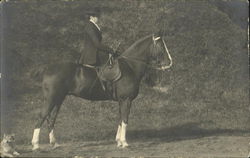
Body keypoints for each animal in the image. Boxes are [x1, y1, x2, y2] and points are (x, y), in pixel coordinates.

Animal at [30, 33, 172, 151]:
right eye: (161, 46)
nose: (169, 63)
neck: (130, 66)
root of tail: (47, 68)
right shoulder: (126, 100)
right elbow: (125, 119)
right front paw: (125, 143)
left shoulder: (121, 101)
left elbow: (120, 119)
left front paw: (119, 141)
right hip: (51, 99)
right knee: (42, 116)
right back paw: (36, 145)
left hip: (59, 99)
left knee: (51, 119)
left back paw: (55, 144)